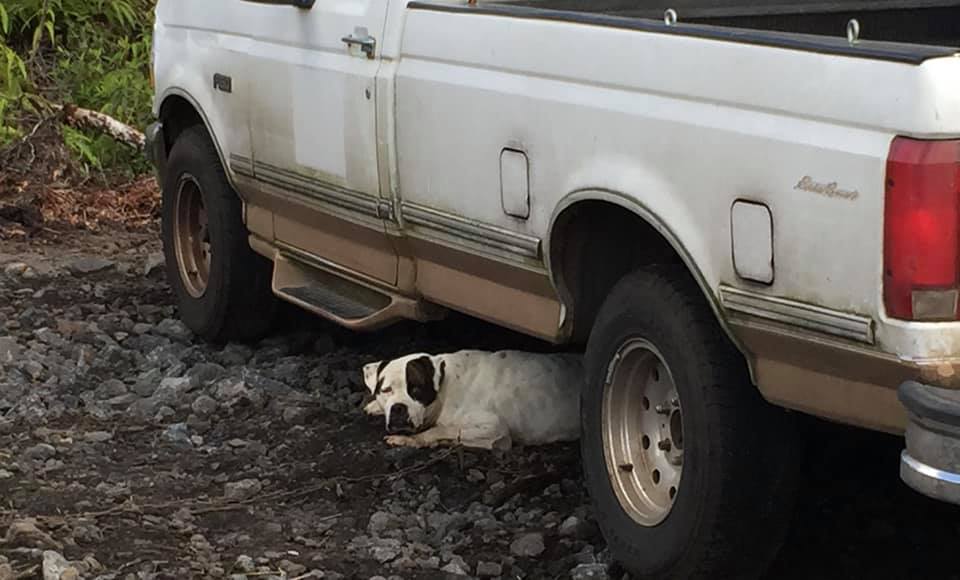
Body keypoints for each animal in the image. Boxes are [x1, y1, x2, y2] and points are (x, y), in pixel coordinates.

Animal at [362, 348, 580, 448]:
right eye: (386, 390)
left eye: (416, 390)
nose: (398, 408)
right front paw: (374, 406)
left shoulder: (493, 427)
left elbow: (443, 429)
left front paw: (412, 440)